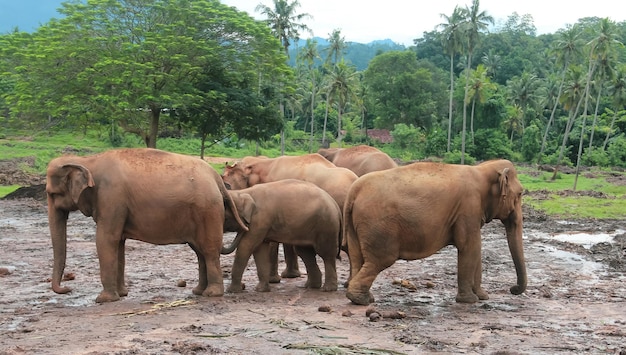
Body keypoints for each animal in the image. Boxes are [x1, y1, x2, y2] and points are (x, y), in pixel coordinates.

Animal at [45, 147, 246, 304]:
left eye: (52, 193)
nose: (68, 289)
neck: (88, 161)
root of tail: (217, 179)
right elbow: (118, 243)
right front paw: (122, 294)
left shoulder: (111, 197)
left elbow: (106, 239)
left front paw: (103, 299)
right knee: (200, 251)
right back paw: (198, 291)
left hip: (207, 211)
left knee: (209, 250)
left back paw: (212, 294)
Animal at [344, 161, 524, 306]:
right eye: (521, 193)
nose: (513, 289)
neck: (481, 170)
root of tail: (354, 191)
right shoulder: (468, 208)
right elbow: (469, 246)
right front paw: (469, 300)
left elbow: (475, 249)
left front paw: (482, 297)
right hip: (378, 226)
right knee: (380, 260)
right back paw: (361, 300)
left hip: (355, 227)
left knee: (357, 258)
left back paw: (365, 297)